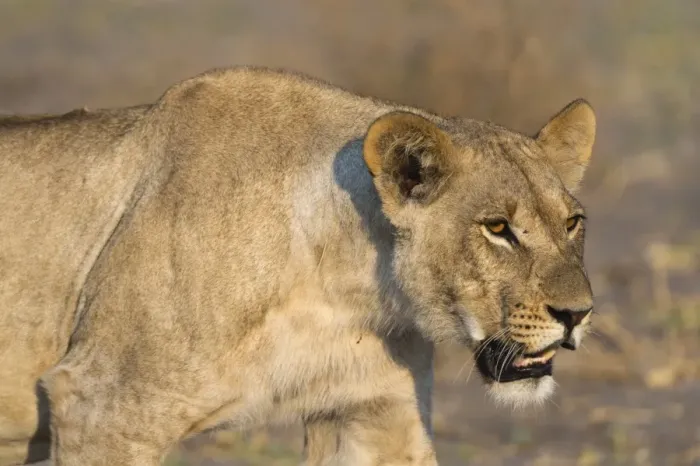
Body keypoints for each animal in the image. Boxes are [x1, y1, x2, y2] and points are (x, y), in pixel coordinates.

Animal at [0, 66, 595, 465]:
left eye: (571, 223)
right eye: (497, 228)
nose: (578, 315)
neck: (342, 286)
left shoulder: (376, 412)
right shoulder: (102, 406)